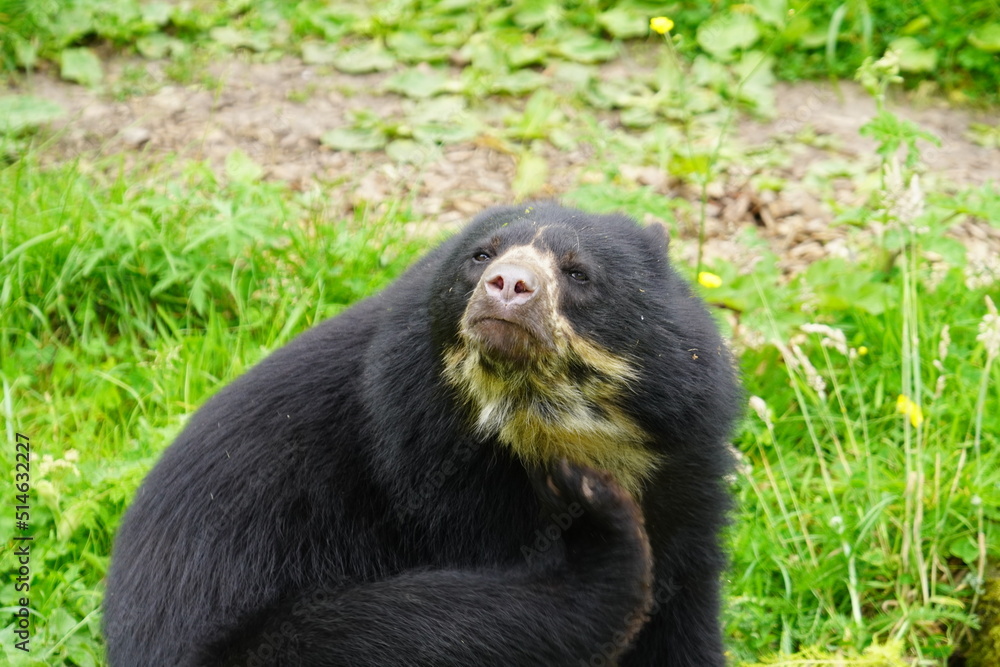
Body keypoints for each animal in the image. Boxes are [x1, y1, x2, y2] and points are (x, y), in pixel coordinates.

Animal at [103, 202, 741, 666]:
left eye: (578, 271)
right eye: (481, 256)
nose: (507, 284)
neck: (543, 426)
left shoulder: (683, 472)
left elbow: (681, 622)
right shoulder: (434, 479)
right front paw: (596, 515)